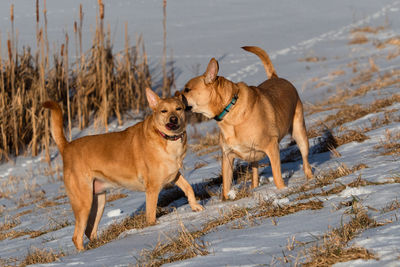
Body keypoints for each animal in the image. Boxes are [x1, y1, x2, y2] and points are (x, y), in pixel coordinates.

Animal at [43, 88, 203, 251]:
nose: (173, 119)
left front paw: (195, 206)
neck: (166, 138)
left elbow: (188, 188)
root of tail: (67, 147)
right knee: (76, 237)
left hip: (99, 200)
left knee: (89, 231)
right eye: (164, 111)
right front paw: (153, 228)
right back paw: (84, 253)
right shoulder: (152, 188)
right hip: (84, 202)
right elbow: (151, 215)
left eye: (178, 109)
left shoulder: (174, 174)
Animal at [181, 46, 312, 201]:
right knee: (254, 172)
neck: (229, 110)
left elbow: (277, 176)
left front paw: (282, 191)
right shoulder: (227, 156)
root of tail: (276, 77)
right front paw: (225, 201)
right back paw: (254, 187)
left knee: (305, 159)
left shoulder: (272, 147)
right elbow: (226, 185)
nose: (174, 97)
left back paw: (310, 178)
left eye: (187, 89)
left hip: (299, 133)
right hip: (253, 155)